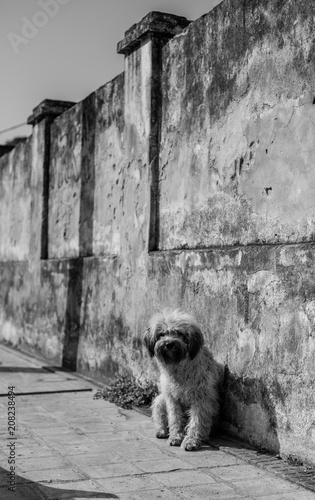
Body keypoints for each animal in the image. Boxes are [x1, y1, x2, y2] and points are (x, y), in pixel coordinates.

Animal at [143, 306, 220, 452]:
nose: (168, 344)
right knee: (160, 416)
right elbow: (174, 418)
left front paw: (191, 441)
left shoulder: (200, 398)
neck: (179, 367)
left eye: (179, 333)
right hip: (161, 399)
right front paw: (175, 437)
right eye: (161, 334)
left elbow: (196, 421)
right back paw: (161, 430)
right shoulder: (171, 398)